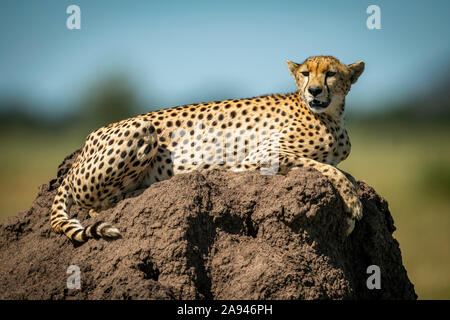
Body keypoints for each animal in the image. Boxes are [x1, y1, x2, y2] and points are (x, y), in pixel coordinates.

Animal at [50, 56, 366, 244]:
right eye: (305, 73)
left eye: (331, 74)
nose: (314, 90)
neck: (332, 116)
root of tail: (86, 142)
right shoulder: (260, 158)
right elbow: (328, 168)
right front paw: (353, 206)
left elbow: (341, 169)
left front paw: (352, 200)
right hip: (142, 128)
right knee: (97, 206)